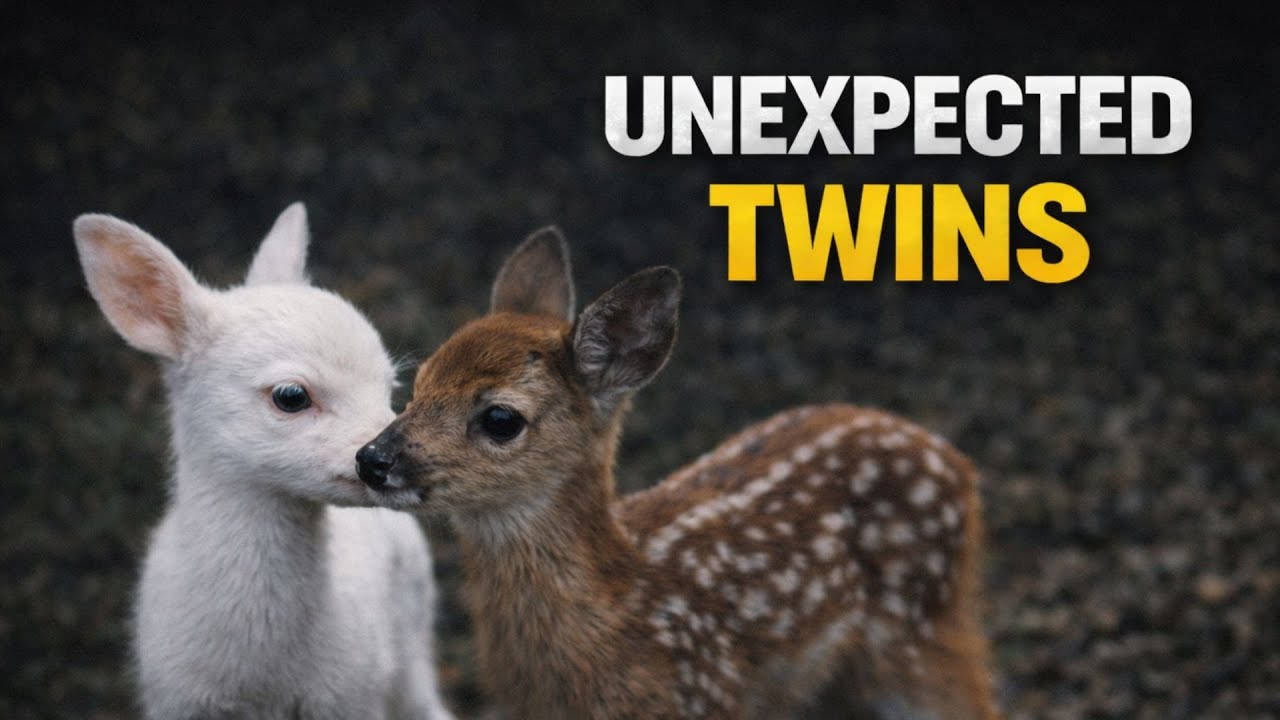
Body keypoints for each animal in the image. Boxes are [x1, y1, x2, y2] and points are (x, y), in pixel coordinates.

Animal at [74, 204, 454, 720]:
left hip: (412, 623)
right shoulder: (175, 698)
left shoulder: (352, 695)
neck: (262, 679)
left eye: (390, 388)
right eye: (290, 396)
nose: (382, 459)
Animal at [356, 228, 999, 719]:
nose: (372, 459)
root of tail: (954, 460)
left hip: (920, 635)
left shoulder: (703, 694)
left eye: (500, 418)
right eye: (419, 383)